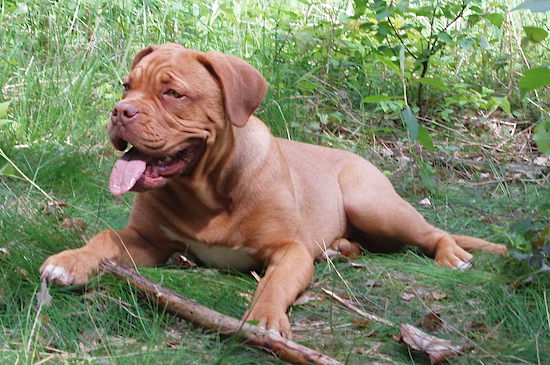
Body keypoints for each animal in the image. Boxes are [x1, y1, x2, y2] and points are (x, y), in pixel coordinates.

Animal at [42, 44, 508, 336]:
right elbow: (104, 237)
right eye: (127, 86)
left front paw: (264, 319)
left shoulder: (289, 251)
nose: (120, 111)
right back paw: (341, 248)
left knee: (433, 232)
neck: (206, 192)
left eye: (172, 93)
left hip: (374, 204)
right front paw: (70, 260)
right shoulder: (148, 240)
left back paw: (451, 254)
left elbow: (273, 284)